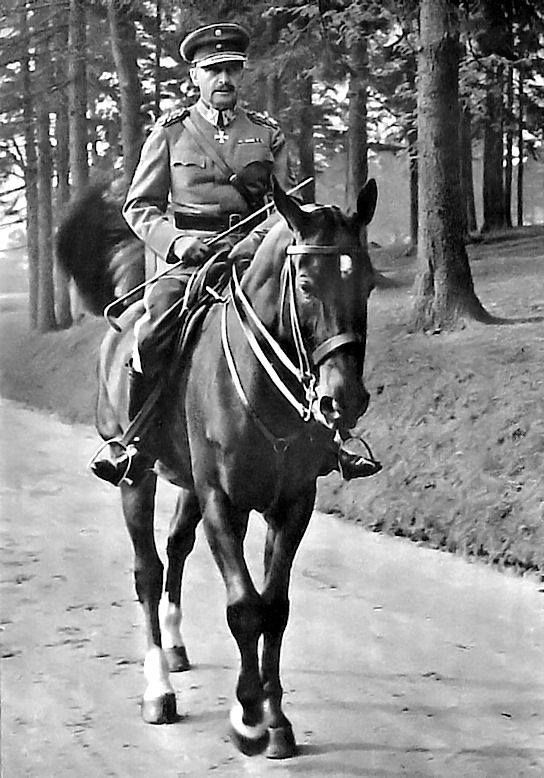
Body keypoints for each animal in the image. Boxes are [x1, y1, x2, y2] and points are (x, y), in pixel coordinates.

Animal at [58, 177, 378, 756]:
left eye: (365, 281)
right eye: (305, 283)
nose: (344, 399)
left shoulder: (291, 504)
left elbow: (275, 606)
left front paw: (276, 719)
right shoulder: (222, 501)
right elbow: (244, 606)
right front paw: (248, 717)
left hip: (189, 485)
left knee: (176, 548)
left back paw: (177, 644)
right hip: (137, 477)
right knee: (147, 569)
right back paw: (159, 689)